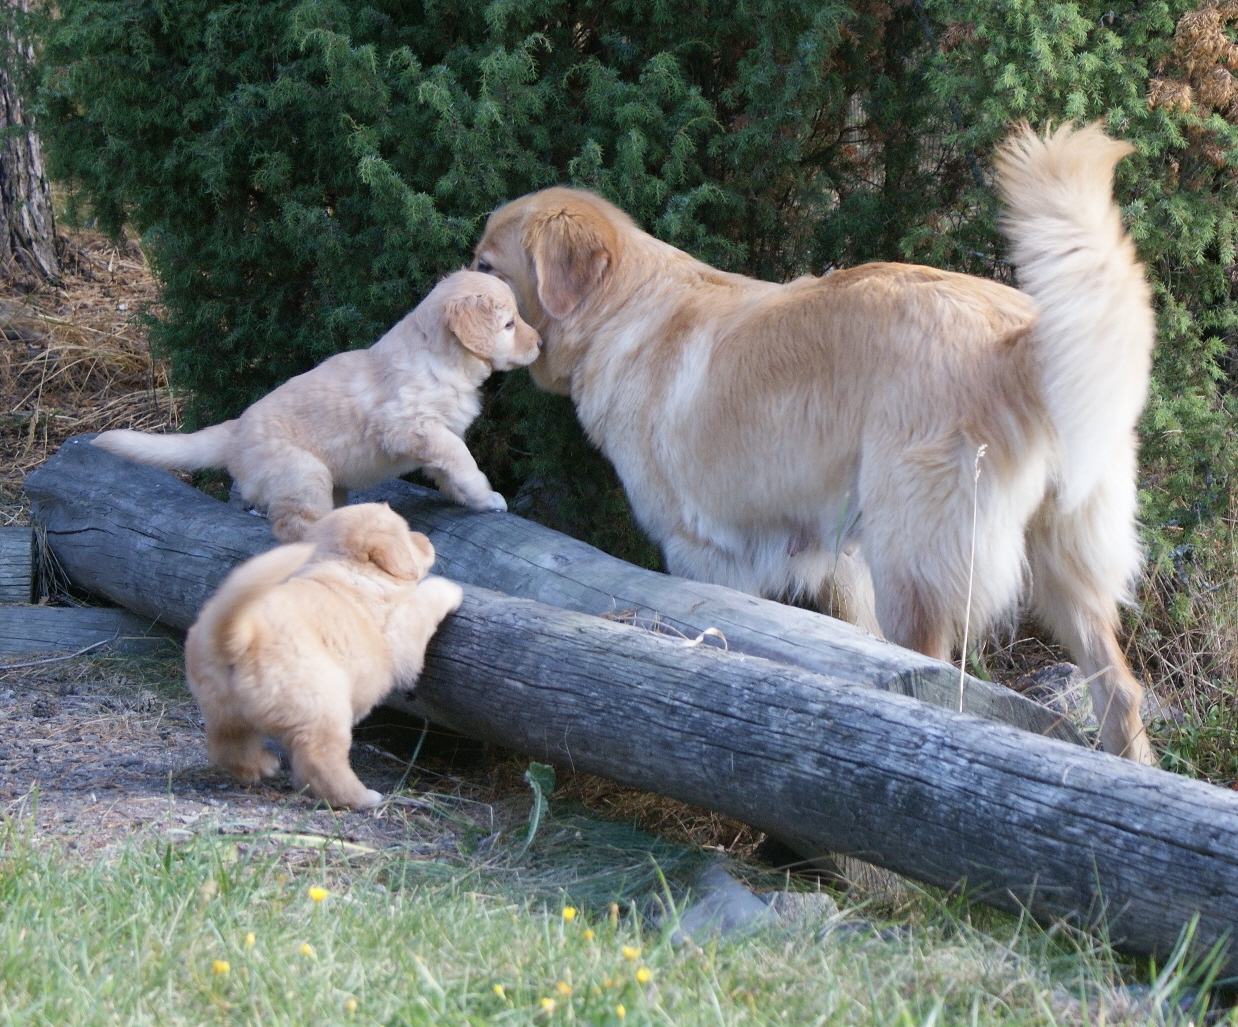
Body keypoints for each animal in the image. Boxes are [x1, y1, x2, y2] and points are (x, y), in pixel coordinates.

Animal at [94, 273, 539, 546]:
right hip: (303, 474)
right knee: (296, 527)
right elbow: (462, 458)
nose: (540, 344)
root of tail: (235, 431)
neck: (442, 359)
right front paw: (488, 495)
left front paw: (469, 500)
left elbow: (450, 470)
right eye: (509, 325)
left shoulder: (435, 434)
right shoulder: (410, 426)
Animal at [179, 507, 460, 811]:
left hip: (221, 709)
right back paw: (361, 798)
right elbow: (425, 598)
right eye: (408, 534)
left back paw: (262, 766)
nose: (426, 539)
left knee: (227, 746)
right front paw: (451, 589)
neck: (344, 566)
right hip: (323, 705)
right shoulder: (403, 631)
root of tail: (239, 633)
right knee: (319, 760)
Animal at [475, 122, 1158, 762]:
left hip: (911, 563)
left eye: (485, 266)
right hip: (1059, 567)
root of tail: (1016, 337)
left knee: (936, 678)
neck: (622, 310)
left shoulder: (701, 551)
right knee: (1120, 690)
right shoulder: (840, 559)